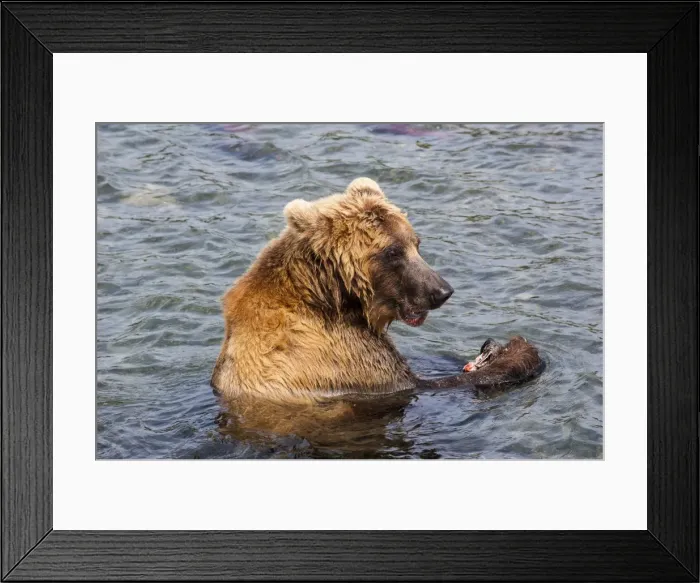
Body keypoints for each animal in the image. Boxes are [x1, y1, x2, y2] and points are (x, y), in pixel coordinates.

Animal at [211, 178, 543, 405]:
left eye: (416, 243)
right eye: (393, 252)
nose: (441, 290)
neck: (331, 297)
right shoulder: (340, 356)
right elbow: (424, 384)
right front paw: (519, 352)